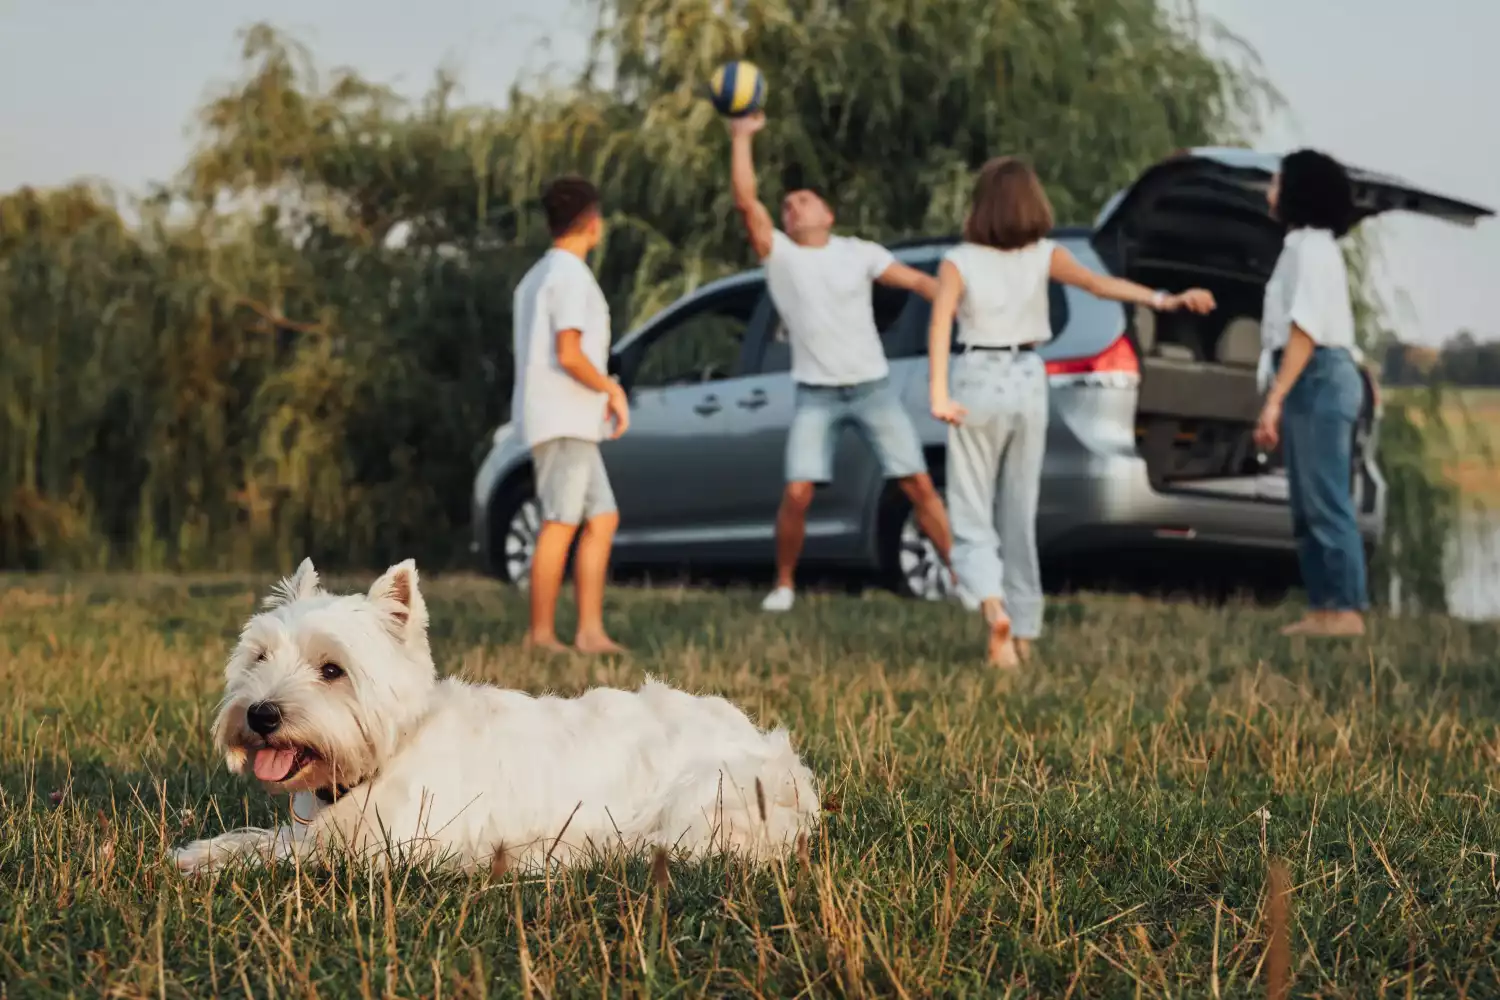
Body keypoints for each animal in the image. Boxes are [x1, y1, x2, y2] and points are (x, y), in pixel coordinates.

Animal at [172, 563, 822, 875]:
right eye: (259, 657)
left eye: (332, 670)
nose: (260, 714)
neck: (388, 757)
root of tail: (788, 764)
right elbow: (262, 837)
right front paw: (199, 853)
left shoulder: (392, 850)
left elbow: (285, 855)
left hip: (702, 804)